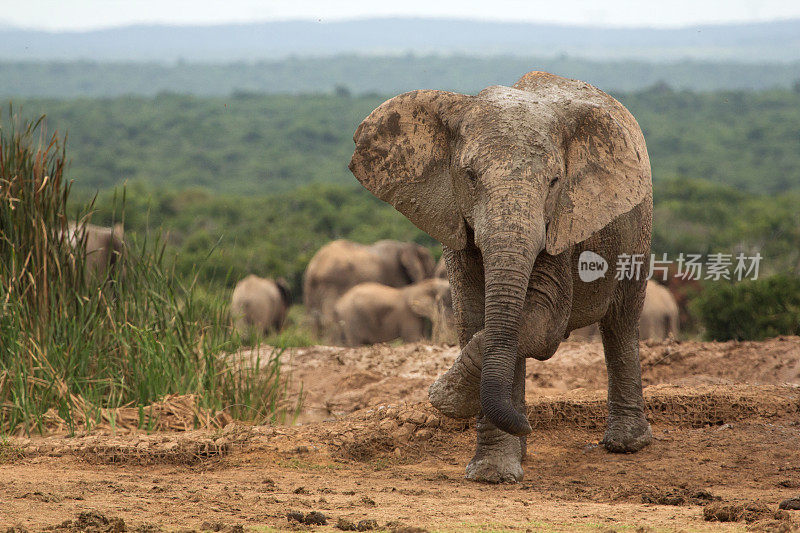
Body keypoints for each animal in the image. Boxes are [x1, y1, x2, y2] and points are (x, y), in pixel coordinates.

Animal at [302, 239, 438, 338]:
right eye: (429, 269)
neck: (406, 245)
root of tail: (315, 266)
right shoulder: (395, 274)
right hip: (333, 282)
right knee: (328, 318)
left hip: (310, 287)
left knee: (312, 319)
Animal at [354, 70, 652, 482]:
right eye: (470, 176)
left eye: (555, 181)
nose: (528, 426)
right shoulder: (455, 220)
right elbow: (476, 319)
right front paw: (491, 471)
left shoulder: (561, 227)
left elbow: (542, 324)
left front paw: (443, 399)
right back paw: (523, 447)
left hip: (638, 228)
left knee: (621, 322)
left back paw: (625, 445)